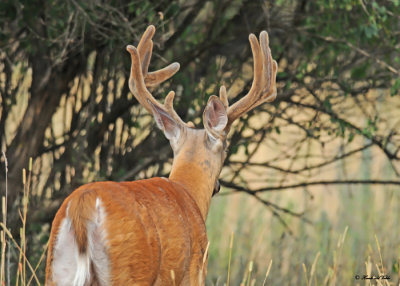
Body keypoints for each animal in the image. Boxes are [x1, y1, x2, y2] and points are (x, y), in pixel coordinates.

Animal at [44, 25, 276, 284]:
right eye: (226, 148)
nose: (217, 186)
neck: (190, 192)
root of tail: (81, 209)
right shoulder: (194, 271)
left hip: (57, 269)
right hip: (128, 269)